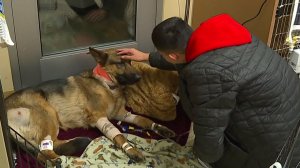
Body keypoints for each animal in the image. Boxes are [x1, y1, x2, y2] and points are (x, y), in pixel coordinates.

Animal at [4, 47, 175, 163]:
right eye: (120, 63)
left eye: (130, 61)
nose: (140, 77)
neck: (107, 84)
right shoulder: (99, 118)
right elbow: (118, 134)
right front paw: (131, 149)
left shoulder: (122, 114)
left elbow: (143, 120)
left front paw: (160, 128)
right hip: (48, 112)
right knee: (42, 152)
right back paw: (59, 160)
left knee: (50, 146)